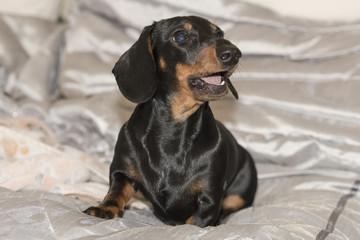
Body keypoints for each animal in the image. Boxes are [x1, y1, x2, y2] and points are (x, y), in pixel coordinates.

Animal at [83, 15, 258, 227]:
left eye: (219, 33)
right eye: (180, 36)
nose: (233, 53)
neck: (173, 130)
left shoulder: (209, 198)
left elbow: (196, 221)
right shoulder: (122, 172)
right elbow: (116, 191)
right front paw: (105, 207)